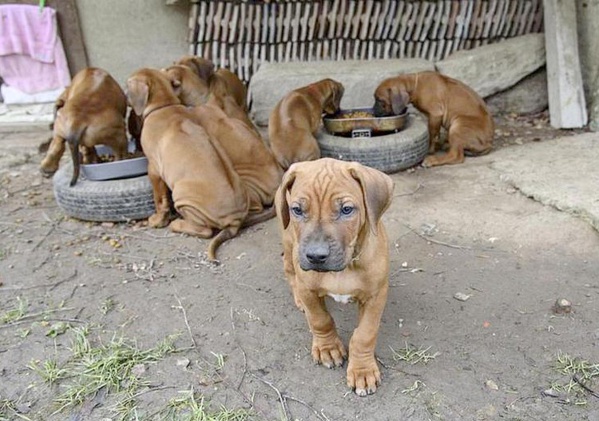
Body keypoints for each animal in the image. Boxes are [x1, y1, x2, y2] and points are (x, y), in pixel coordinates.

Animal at [126, 67, 264, 260]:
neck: (165, 105)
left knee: (205, 231)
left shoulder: (153, 169)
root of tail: (234, 221)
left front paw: (157, 220)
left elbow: (160, 200)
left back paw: (177, 224)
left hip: (183, 196)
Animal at [276, 157, 396, 394]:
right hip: (289, 242)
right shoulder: (309, 289)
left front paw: (362, 371)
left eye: (347, 209)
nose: (315, 256)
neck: (346, 267)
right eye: (297, 210)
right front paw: (327, 348)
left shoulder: (376, 295)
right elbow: (319, 319)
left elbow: (365, 334)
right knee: (289, 270)